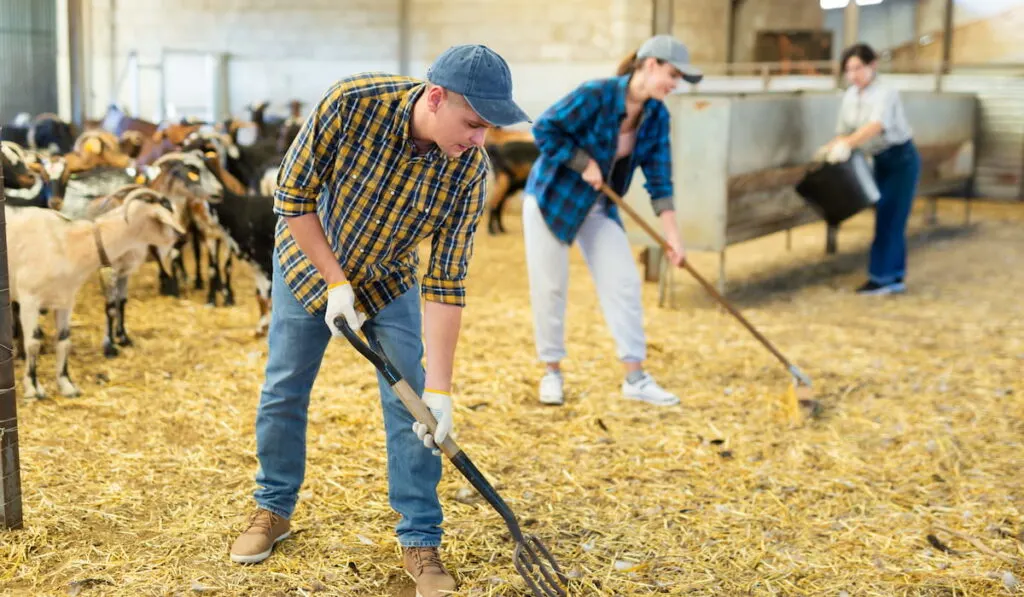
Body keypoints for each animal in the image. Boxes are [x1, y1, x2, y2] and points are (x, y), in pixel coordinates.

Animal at [7, 189, 186, 399]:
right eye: (168, 210)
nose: (184, 237)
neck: (69, 243)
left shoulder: (65, 300)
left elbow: (64, 341)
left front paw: (67, 385)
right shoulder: (30, 300)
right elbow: (33, 343)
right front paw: (33, 388)